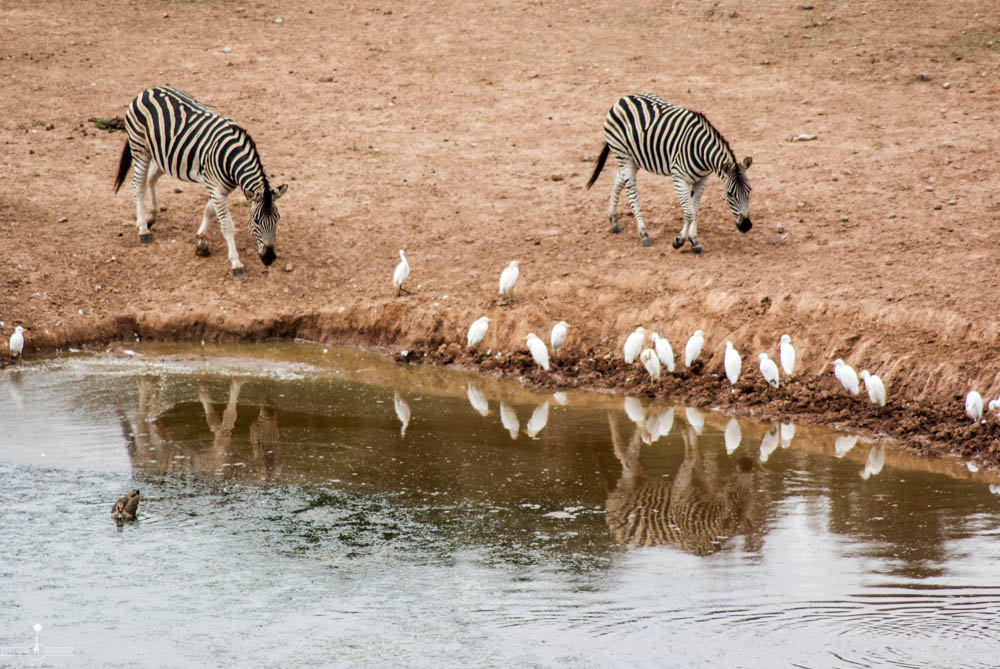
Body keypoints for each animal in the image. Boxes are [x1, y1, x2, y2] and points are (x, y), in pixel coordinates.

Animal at [117, 87, 292, 274]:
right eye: (256, 221)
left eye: (277, 219)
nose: (269, 258)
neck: (231, 159)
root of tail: (147, 91)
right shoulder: (217, 189)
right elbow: (227, 225)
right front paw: (236, 262)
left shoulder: (221, 188)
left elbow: (209, 211)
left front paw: (201, 241)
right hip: (140, 149)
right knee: (138, 186)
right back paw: (143, 229)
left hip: (164, 157)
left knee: (150, 179)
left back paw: (151, 216)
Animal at [584, 91, 752, 253]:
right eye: (729, 194)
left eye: (749, 191)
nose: (746, 226)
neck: (702, 153)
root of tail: (622, 99)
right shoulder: (679, 178)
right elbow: (689, 212)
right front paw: (679, 241)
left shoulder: (702, 179)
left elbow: (694, 209)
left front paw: (694, 241)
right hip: (623, 154)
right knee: (631, 192)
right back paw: (643, 234)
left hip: (634, 158)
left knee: (618, 179)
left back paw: (613, 220)